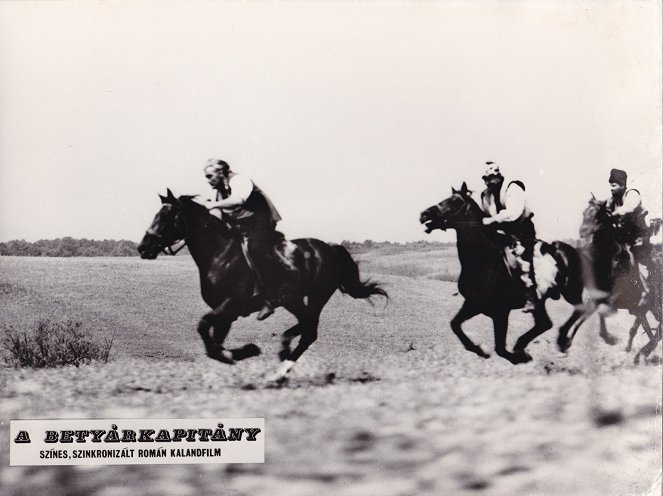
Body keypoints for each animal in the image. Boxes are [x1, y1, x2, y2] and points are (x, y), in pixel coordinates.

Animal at [139, 188, 390, 382]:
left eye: (167, 216)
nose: (143, 247)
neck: (220, 254)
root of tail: (329, 248)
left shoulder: (230, 304)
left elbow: (203, 327)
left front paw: (247, 351)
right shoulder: (225, 312)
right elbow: (215, 344)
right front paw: (239, 353)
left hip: (314, 297)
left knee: (310, 331)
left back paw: (280, 369)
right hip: (295, 299)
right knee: (306, 326)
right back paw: (284, 349)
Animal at [420, 182, 588, 364]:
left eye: (455, 202)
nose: (424, 214)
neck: (483, 259)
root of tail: (574, 251)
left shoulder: (500, 312)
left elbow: (500, 349)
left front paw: (519, 356)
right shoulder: (473, 304)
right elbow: (455, 325)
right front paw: (480, 350)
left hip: (571, 292)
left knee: (581, 309)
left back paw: (562, 341)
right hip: (541, 301)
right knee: (545, 323)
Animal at [572, 198, 660, 364]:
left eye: (596, 215)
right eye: (584, 212)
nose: (582, 231)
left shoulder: (634, 304)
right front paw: (609, 338)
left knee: (655, 332)